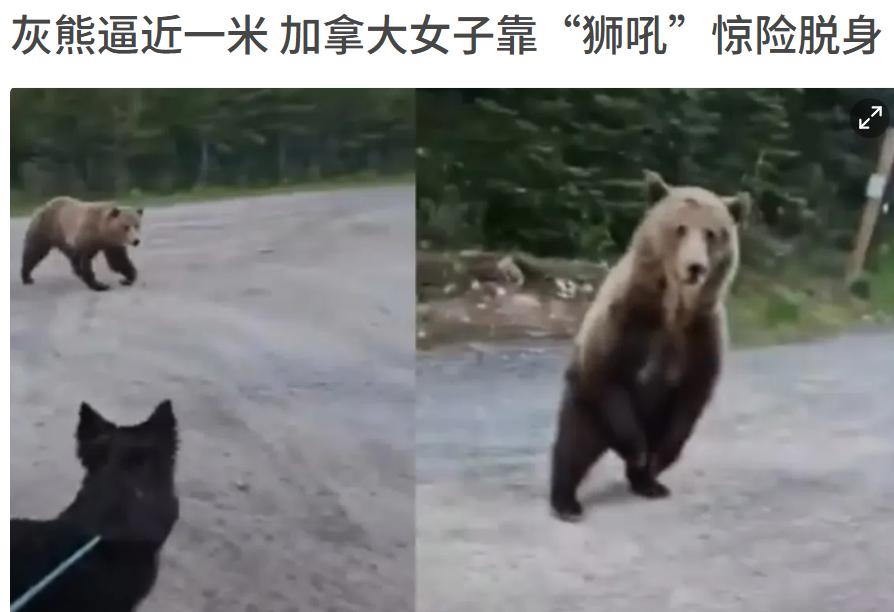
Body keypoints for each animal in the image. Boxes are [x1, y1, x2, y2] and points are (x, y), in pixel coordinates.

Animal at [548, 170, 751, 522]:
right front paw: (638, 450)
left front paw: (654, 461)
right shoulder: (626, 318)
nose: (695, 267)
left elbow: (692, 396)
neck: (673, 308)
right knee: (573, 446)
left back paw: (648, 482)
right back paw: (567, 501)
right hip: (586, 409)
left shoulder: (700, 334)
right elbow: (607, 374)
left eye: (712, 233)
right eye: (680, 228)